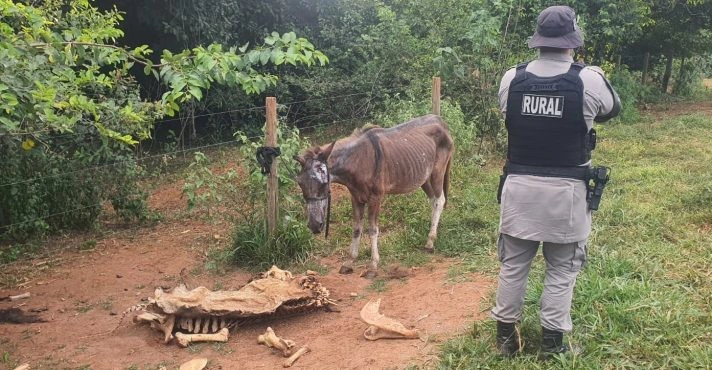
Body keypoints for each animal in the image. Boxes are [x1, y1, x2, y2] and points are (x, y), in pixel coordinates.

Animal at [294, 115, 450, 278]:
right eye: (300, 183)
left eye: (324, 183)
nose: (314, 226)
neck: (359, 161)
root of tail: (439, 120)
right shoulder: (356, 198)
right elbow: (356, 229)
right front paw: (349, 262)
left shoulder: (375, 198)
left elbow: (373, 230)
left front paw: (373, 266)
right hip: (423, 178)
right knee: (433, 201)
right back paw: (434, 232)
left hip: (437, 172)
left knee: (439, 201)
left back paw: (430, 242)